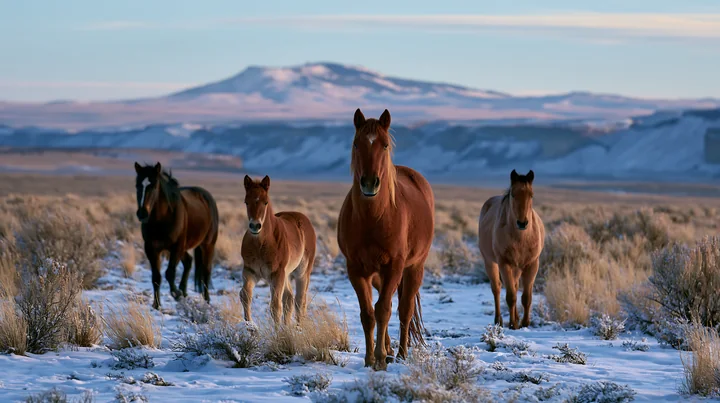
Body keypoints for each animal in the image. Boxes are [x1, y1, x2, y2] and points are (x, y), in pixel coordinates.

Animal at [134, 162, 219, 309]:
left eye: (154, 186)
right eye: (138, 186)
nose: (142, 213)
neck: (161, 220)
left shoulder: (176, 247)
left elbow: (169, 273)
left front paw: (176, 293)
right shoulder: (151, 249)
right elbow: (156, 277)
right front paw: (157, 305)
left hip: (207, 245)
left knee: (206, 271)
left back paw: (206, 300)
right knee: (189, 262)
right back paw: (184, 292)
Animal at [240, 175, 317, 325]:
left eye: (265, 202)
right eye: (246, 202)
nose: (255, 226)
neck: (261, 245)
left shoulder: (277, 274)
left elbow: (275, 306)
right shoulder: (250, 271)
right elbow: (245, 296)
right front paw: (249, 325)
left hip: (302, 273)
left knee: (300, 301)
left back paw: (299, 328)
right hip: (286, 274)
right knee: (289, 298)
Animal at [337, 108, 435, 370]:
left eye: (384, 145)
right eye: (356, 143)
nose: (370, 183)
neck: (374, 217)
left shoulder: (394, 266)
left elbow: (383, 310)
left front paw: (380, 359)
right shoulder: (356, 269)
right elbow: (368, 313)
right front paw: (370, 357)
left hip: (414, 268)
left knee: (404, 309)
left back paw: (400, 353)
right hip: (377, 275)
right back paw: (390, 349)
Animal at [478, 169, 545, 329]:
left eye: (531, 195)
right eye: (513, 195)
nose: (522, 223)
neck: (521, 239)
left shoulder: (532, 264)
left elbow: (526, 297)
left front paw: (525, 323)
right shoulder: (504, 264)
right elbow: (511, 296)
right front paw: (513, 324)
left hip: (517, 267)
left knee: (514, 285)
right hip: (491, 262)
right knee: (496, 289)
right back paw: (499, 320)